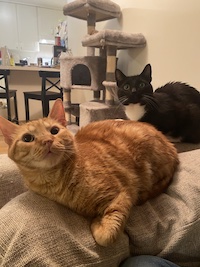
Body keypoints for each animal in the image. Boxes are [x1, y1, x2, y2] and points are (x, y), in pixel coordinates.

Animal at [0, 99, 179, 248]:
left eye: (54, 130)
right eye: (28, 138)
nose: (47, 141)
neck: (56, 182)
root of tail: (171, 146)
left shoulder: (121, 194)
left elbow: (106, 236)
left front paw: (97, 223)